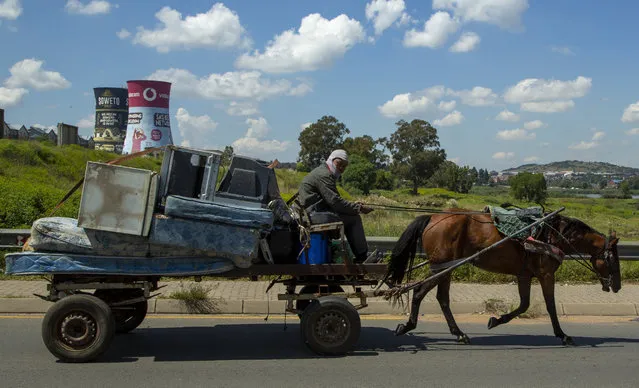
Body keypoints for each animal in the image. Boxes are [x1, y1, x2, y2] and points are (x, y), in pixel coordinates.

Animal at [388, 209, 624, 346]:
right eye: (613, 259)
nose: (618, 286)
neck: (554, 236)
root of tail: (433, 218)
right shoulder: (546, 274)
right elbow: (550, 306)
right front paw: (562, 334)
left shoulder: (524, 275)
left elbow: (524, 304)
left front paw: (496, 320)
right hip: (441, 268)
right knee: (419, 291)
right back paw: (409, 325)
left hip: (447, 268)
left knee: (442, 299)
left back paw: (458, 333)